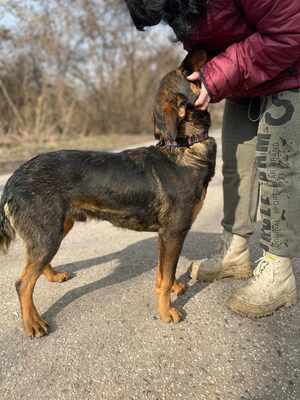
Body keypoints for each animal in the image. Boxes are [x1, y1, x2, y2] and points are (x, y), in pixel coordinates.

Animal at [0, 50, 216, 338]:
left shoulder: (165, 236)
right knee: (23, 283)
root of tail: (13, 179)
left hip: (56, 228)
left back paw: (53, 277)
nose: (198, 49)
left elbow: (162, 275)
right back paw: (32, 323)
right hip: (48, 234)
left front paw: (170, 292)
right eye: (186, 72)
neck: (185, 147)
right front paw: (166, 311)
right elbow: (166, 275)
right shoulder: (174, 232)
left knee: (32, 266)